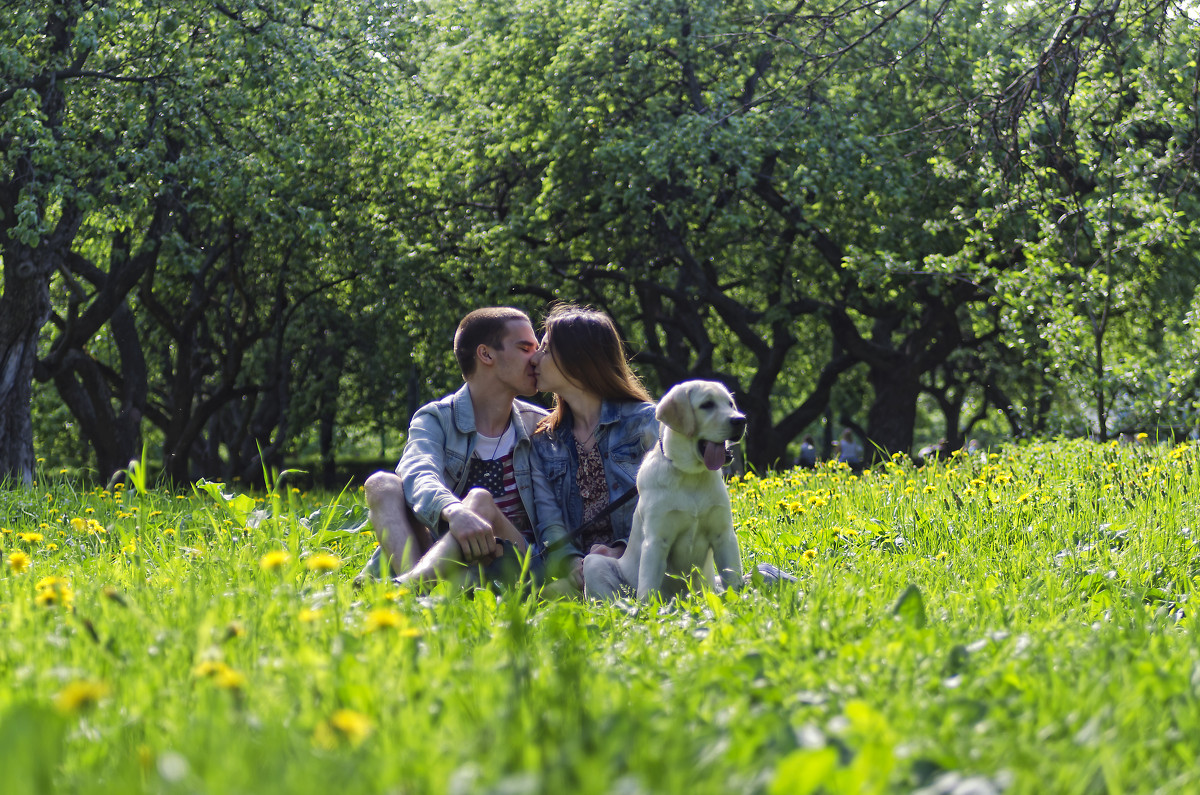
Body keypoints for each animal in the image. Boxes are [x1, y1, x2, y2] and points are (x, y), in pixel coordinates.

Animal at [585, 384, 744, 600]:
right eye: (707, 404)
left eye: (730, 404)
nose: (741, 420)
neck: (690, 475)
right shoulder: (657, 540)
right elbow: (648, 589)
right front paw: (649, 608)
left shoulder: (724, 535)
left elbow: (733, 577)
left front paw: (739, 601)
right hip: (593, 563)